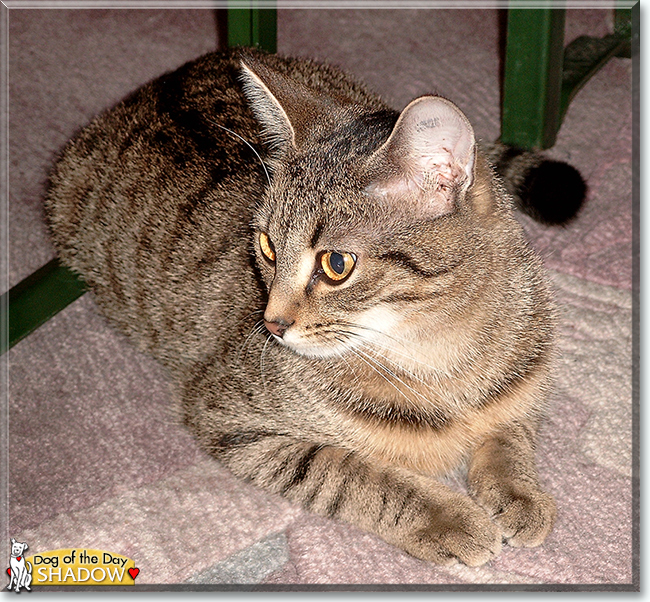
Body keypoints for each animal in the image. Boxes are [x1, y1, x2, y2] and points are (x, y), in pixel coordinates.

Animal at [46, 49, 584, 564]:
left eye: (336, 264)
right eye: (266, 245)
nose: (272, 324)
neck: (437, 352)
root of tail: (172, 77)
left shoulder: (526, 380)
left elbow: (510, 433)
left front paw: (519, 493)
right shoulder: (231, 420)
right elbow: (352, 474)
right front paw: (449, 519)